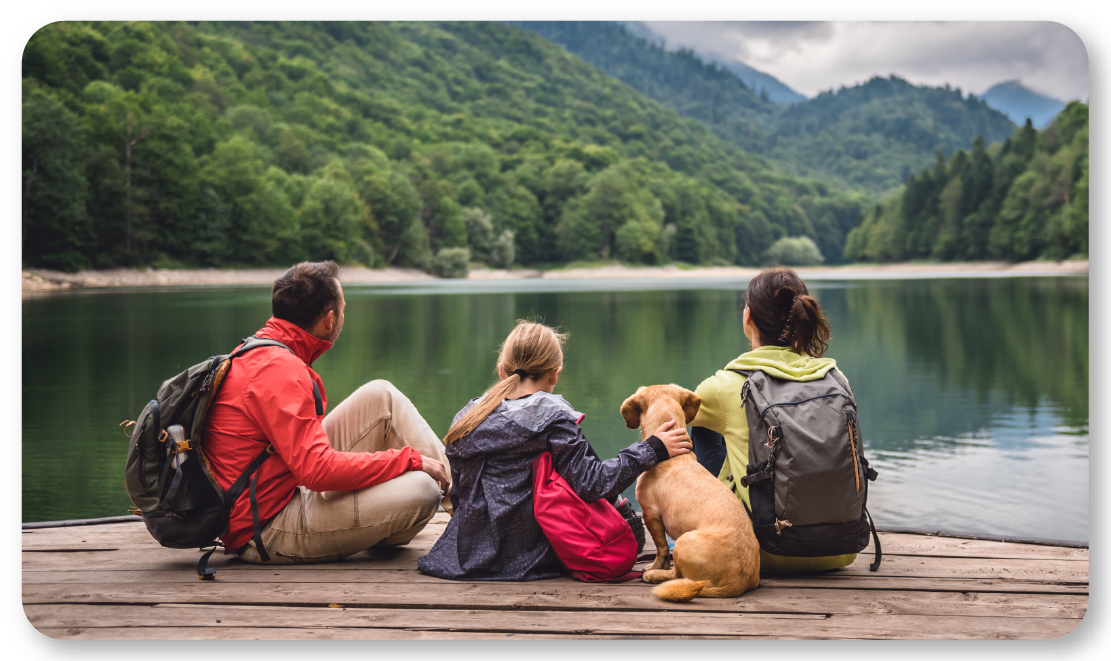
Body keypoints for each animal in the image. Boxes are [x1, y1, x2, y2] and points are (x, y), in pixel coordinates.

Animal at [617, 384, 764, 604]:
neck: (673, 456)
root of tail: (737, 581)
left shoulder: (651, 514)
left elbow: (661, 548)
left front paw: (654, 566)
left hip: (683, 542)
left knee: (676, 574)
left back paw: (654, 575)